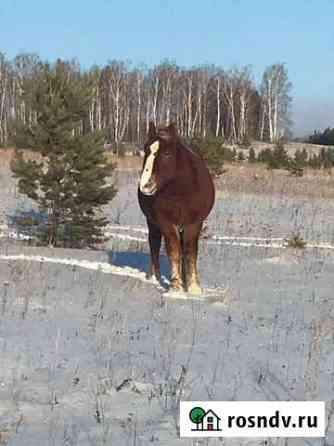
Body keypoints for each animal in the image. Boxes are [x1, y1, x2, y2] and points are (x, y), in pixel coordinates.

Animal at [138, 123, 214, 294]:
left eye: (167, 153)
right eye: (146, 150)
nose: (146, 185)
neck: (181, 192)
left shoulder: (194, 223)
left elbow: (190, 251)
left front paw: (193, 287)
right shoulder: (166, 223)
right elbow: (173, 250)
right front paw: (175, 286)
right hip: (152, 223)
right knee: (154, 246)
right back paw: (154, 277)